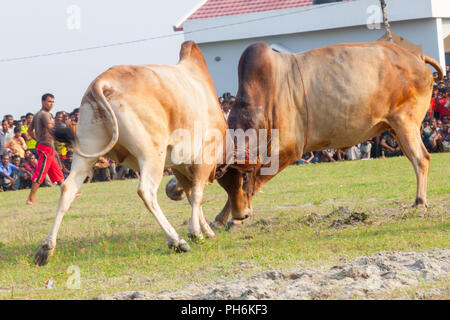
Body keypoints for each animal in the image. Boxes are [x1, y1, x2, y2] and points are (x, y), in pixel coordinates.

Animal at [212, 41, 442, 229]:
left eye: (243, 176)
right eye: (223, 182)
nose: (241, 214)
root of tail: (415, 55)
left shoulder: (289, 150)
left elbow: (255, 183)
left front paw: (237, 219)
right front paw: (222, 219)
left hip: (405, 123)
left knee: (421, 158)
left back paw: (420, 202)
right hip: (396, 127)